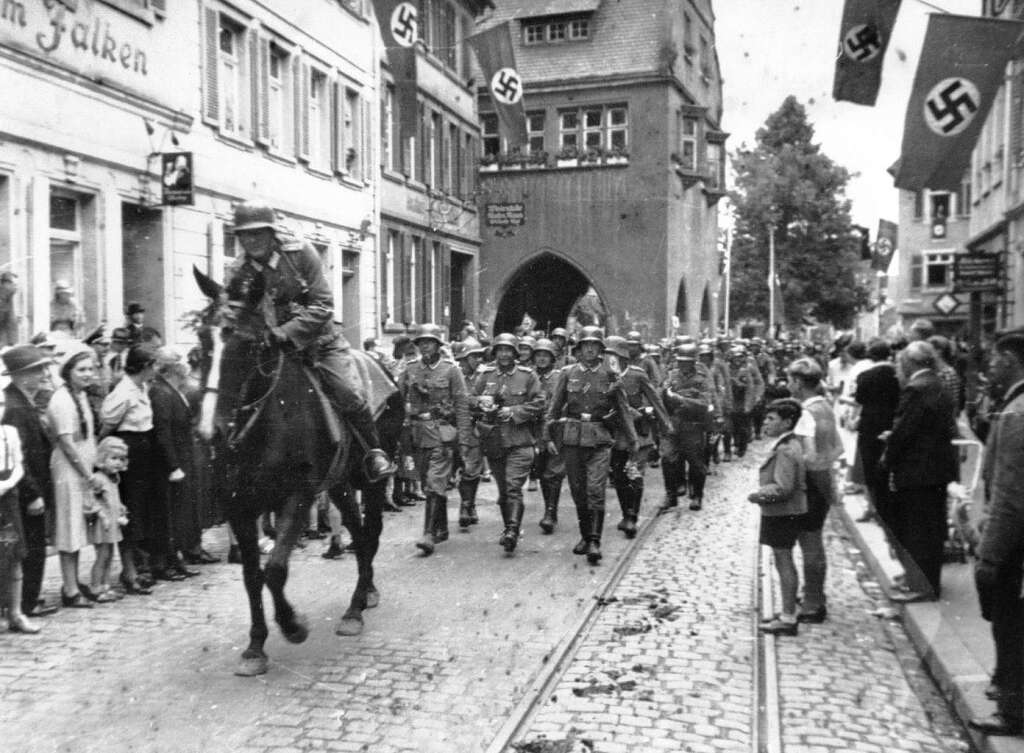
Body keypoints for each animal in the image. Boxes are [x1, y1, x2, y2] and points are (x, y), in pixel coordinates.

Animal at [192, 266, 403, 676]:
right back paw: (362, 595)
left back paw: (355, 610)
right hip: (339, 484)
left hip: (367, 481)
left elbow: (274, 570)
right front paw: (255, 647)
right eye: (201, 342)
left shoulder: (298, 497)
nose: (210, 432)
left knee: (370, 532)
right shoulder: (239, 507)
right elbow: (252, 575)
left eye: (247, 345)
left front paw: (293, 626)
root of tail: (383, 368)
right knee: (357, 532)